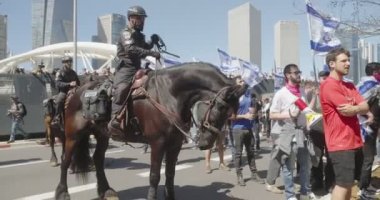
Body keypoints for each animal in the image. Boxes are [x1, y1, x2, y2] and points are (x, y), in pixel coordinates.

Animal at [55, 62, 248, 200]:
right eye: (220, 107)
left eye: (231, 113)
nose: (207, 142)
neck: (169, 94)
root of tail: (77, 91)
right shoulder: (157, 143)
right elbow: (154, 175)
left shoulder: (175, 144)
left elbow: (170, 173)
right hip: (73, 135)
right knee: (65, 160)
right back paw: (62, 192)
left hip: (102, 135)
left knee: (98, 159)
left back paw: (106, 190)